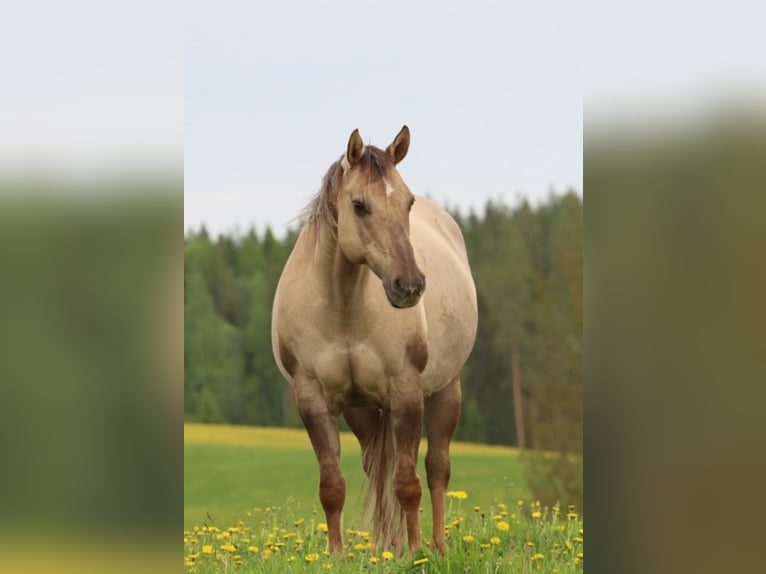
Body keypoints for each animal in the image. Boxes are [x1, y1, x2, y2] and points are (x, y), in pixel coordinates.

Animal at [271, 126, 478, 556]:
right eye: (359, 205)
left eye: (408, 202)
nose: (409, 285)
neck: (344, 305)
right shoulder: (313, 399)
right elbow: (333, 486)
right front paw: (337, 557)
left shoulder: (406, 392)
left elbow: (408, 482)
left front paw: (415, 554)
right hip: (362, 409)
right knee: (376, 468)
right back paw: (387, 546)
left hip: (445, 390)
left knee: (436, 467)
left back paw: (435, 546)